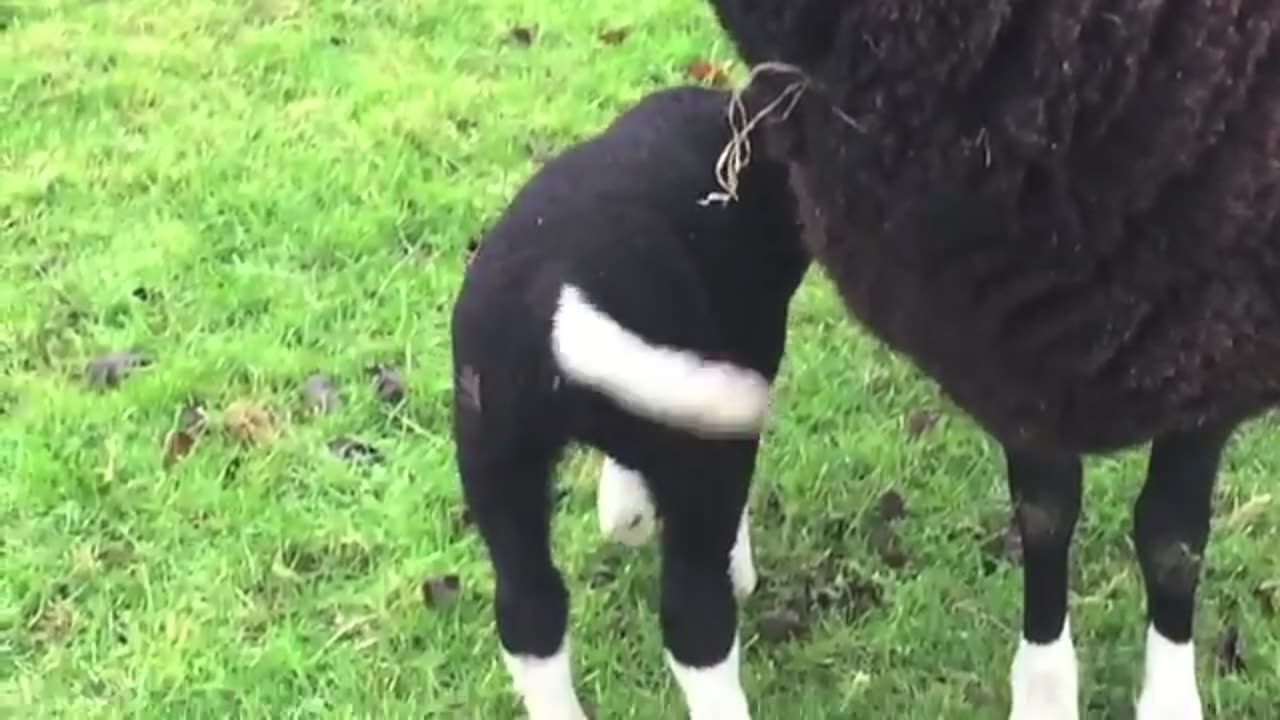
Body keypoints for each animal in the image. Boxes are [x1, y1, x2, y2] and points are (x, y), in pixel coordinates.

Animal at [701, 1, 1280, 717]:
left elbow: (1173, 545)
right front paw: (1044, 694)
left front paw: (1169, 701)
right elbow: (1044, 516)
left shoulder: (1210, 345)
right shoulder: (1007, 340)